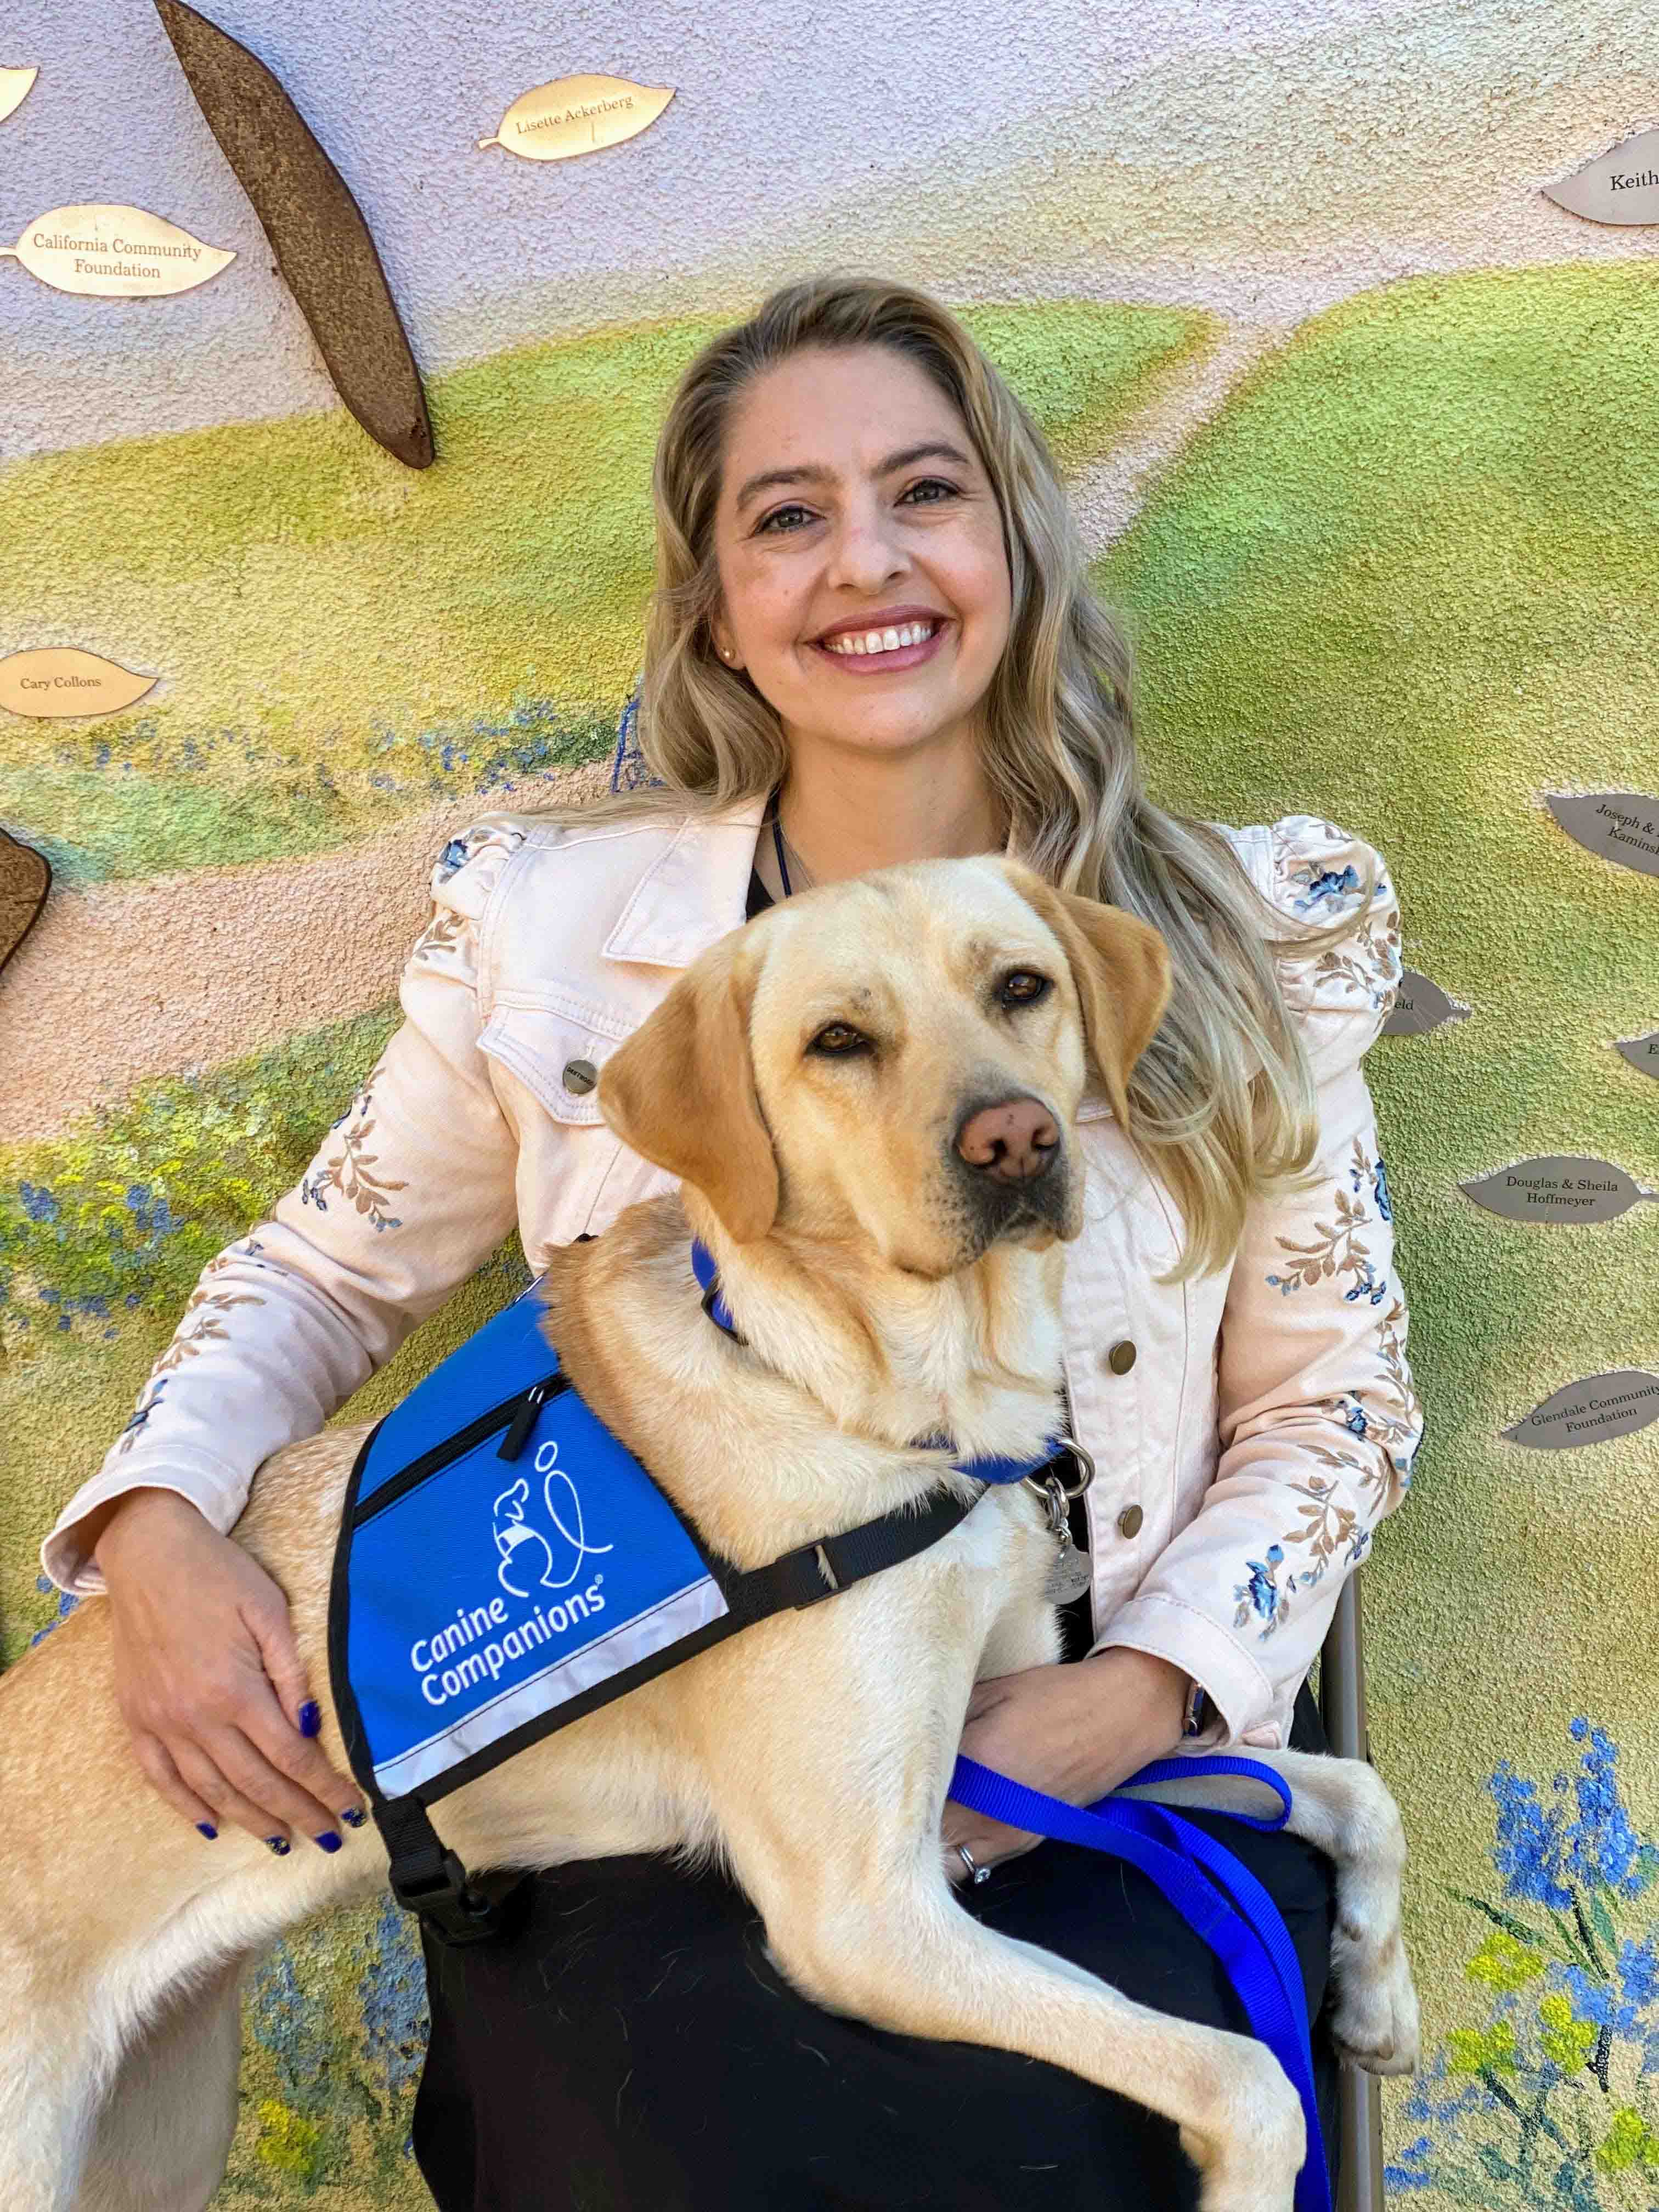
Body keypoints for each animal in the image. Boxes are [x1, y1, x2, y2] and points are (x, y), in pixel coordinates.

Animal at [3, 858, 1415, 2212]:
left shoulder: (1007, 1739)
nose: (1016, 1137)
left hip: (162, 2133)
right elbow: (1241, 2074)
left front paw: (1373, 1988)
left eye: (1021, 987)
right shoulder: (860, 1912)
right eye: (839, 1040)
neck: (873, 1398)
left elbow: (1351, 1792)